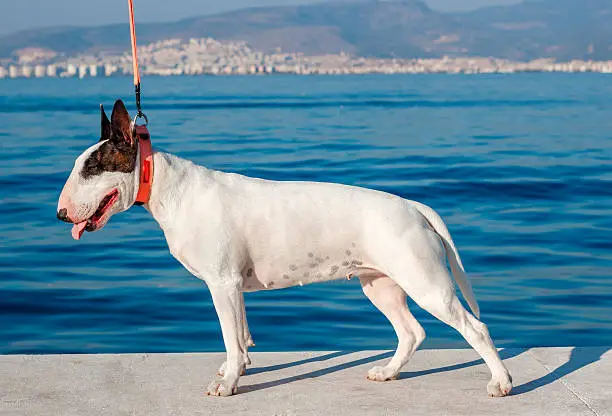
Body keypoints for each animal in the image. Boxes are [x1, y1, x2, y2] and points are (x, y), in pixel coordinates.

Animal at [58, 100, 512, 396]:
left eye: (92, 168)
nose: (61, 214)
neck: (168, 187)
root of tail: (414, 206)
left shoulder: (221, 283)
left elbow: (230, 335)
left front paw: (227, 383)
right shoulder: (233, 287)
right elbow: (240, 336)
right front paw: (236, 369)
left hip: (426, 282)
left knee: (475, 328)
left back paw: (501, 383)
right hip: (380, 283)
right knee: (411, 332)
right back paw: (388, 372)